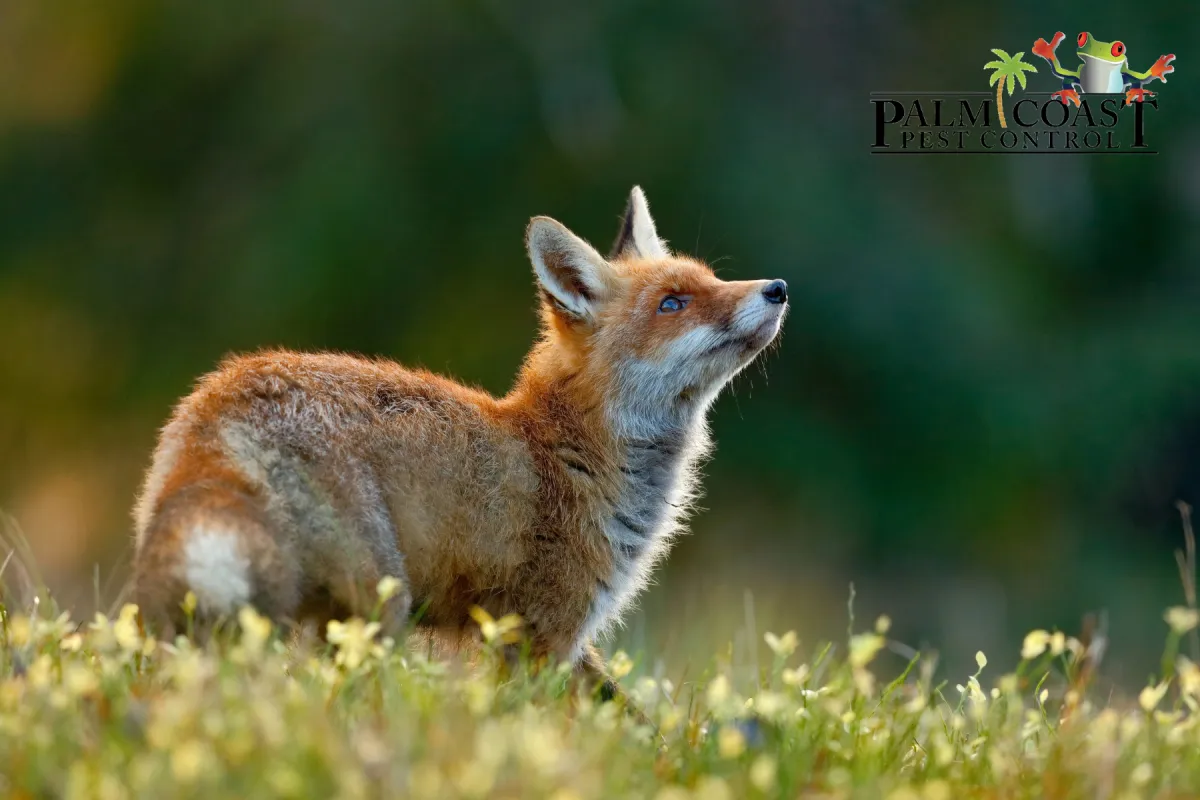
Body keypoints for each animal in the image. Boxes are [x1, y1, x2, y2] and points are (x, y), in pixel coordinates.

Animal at [132, 186, 788, 693]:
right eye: (672, 304)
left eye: (711, 278)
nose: (777, 287)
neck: (570, 449)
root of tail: (221, 405)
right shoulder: (542, 629)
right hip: (376, 605)